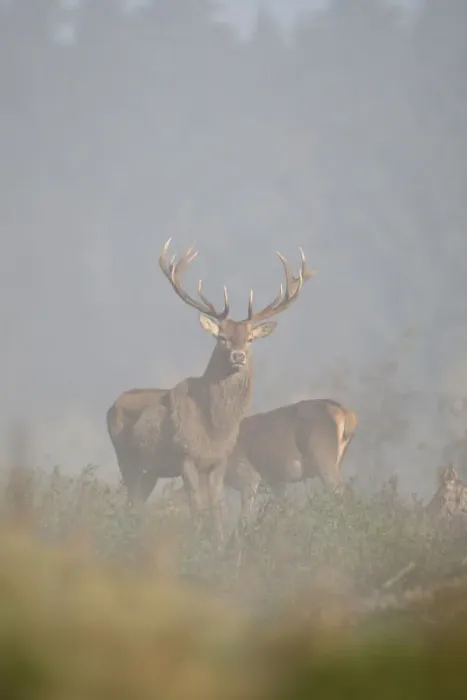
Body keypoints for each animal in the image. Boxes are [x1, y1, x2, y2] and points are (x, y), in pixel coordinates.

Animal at [109, 238, 314, 543]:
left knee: (135, 504)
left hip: (150, 470)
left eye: (250, 338)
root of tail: (111, 406)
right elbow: (196, 506)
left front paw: (218, 544)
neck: (214, 427)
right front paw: (198, 543)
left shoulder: (219, 461)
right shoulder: (185, 456)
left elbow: (217, 507)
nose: (238, 356)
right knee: (130, 500)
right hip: (127, 457)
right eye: (222, 337)